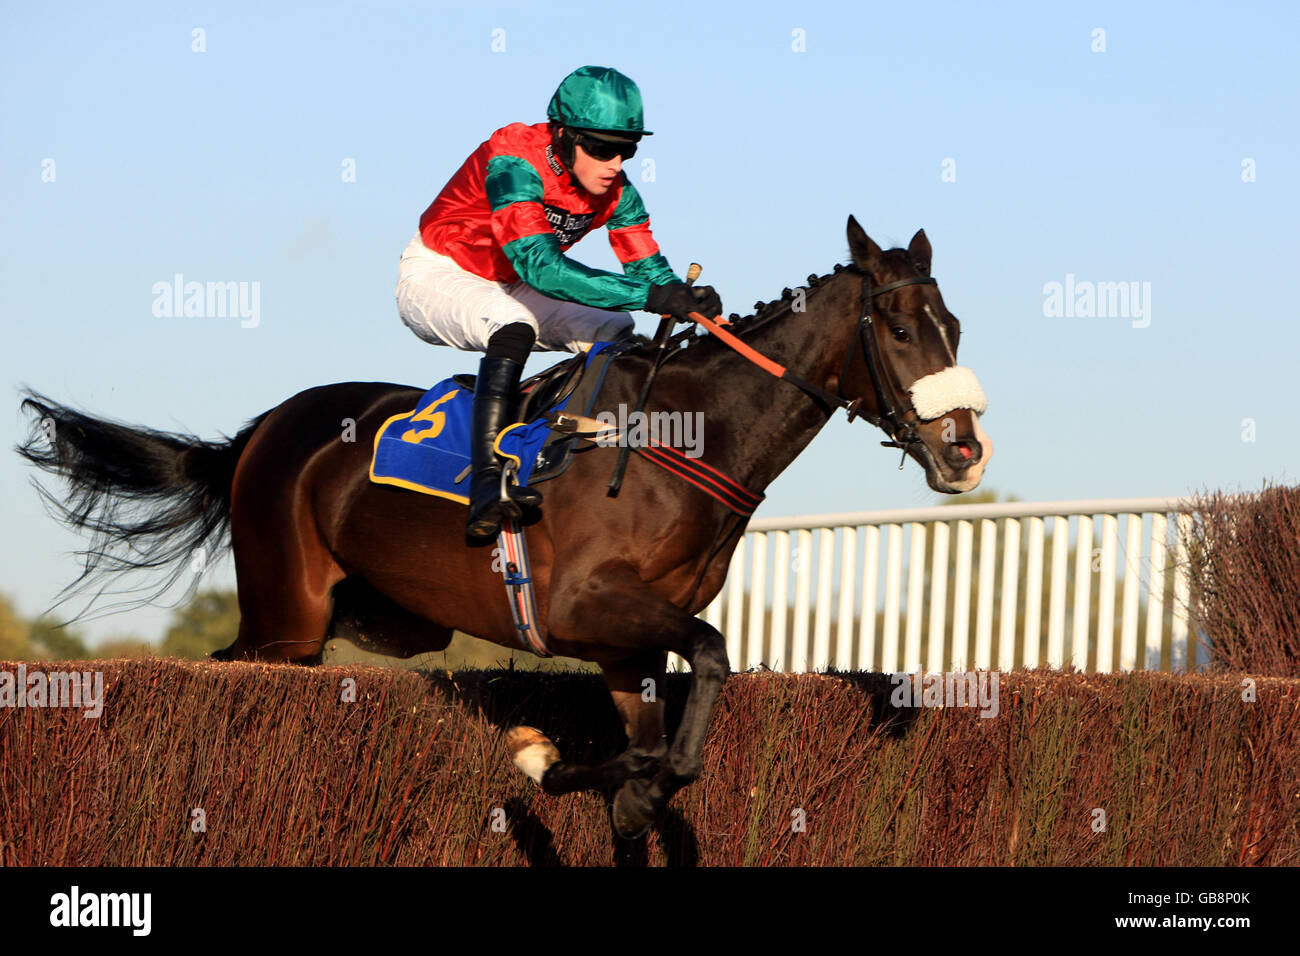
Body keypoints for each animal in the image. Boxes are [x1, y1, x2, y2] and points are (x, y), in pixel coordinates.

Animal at [17, 216, 991, 839]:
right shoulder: (583, 607)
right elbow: (709, 664)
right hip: (284, 618)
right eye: (899, 327)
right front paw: (545, 761)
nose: (965, 452)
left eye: (955, 324)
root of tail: (259, 432)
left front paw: (610, 788)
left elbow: (656, 757)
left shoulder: (625, 646)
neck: (686, 437)